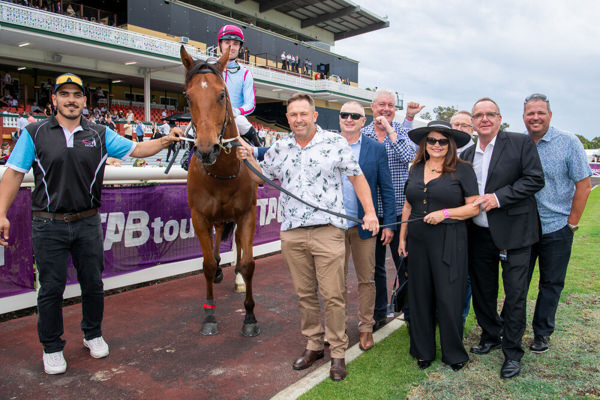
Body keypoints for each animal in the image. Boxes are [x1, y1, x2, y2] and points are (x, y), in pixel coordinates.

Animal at [180, 45, 260, 336]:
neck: (223, 173)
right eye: (188, 96)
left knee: (236, 243)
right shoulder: (199, 216)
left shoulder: (247, 213)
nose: (207, 149)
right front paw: (210, 315)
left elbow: (248, 263)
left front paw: (250, 317)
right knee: (216, 244)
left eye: (222, 94)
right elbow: (207, 264)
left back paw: (237, 278)